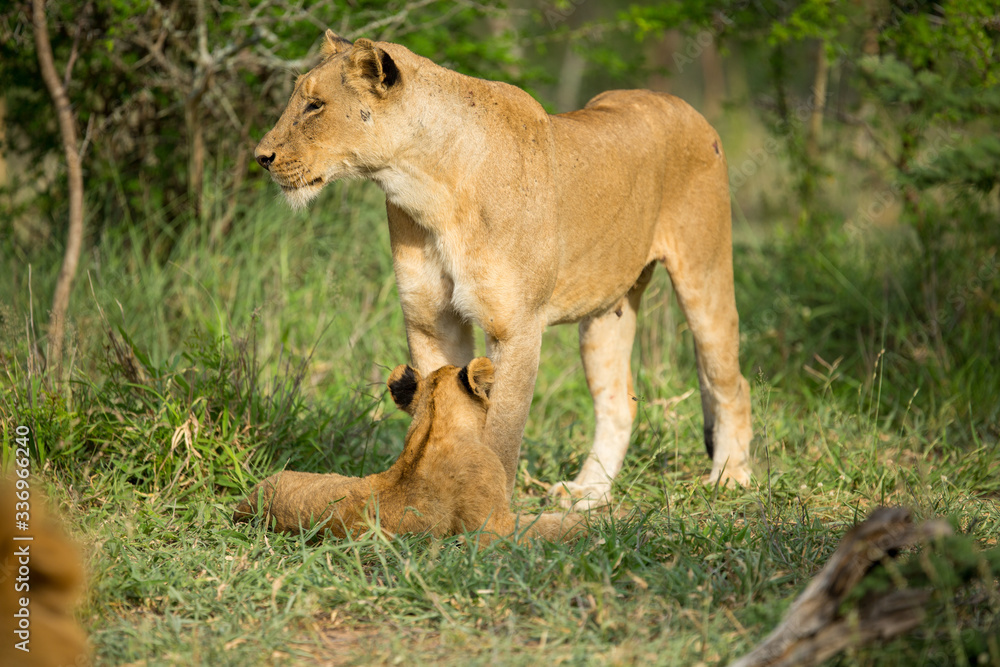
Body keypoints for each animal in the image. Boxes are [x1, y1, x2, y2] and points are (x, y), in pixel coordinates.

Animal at [254, 31, 753, 508]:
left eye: (315, 105)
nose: (261, 157)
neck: (427, 186)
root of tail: (684, 105)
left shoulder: (516, 328)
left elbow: (502, 433)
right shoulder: (430, 322)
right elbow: (433, 409)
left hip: (704, 274)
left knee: (731, 381)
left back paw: (729, 478)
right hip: (605, 311)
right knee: (618, 403)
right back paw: (588, 493)